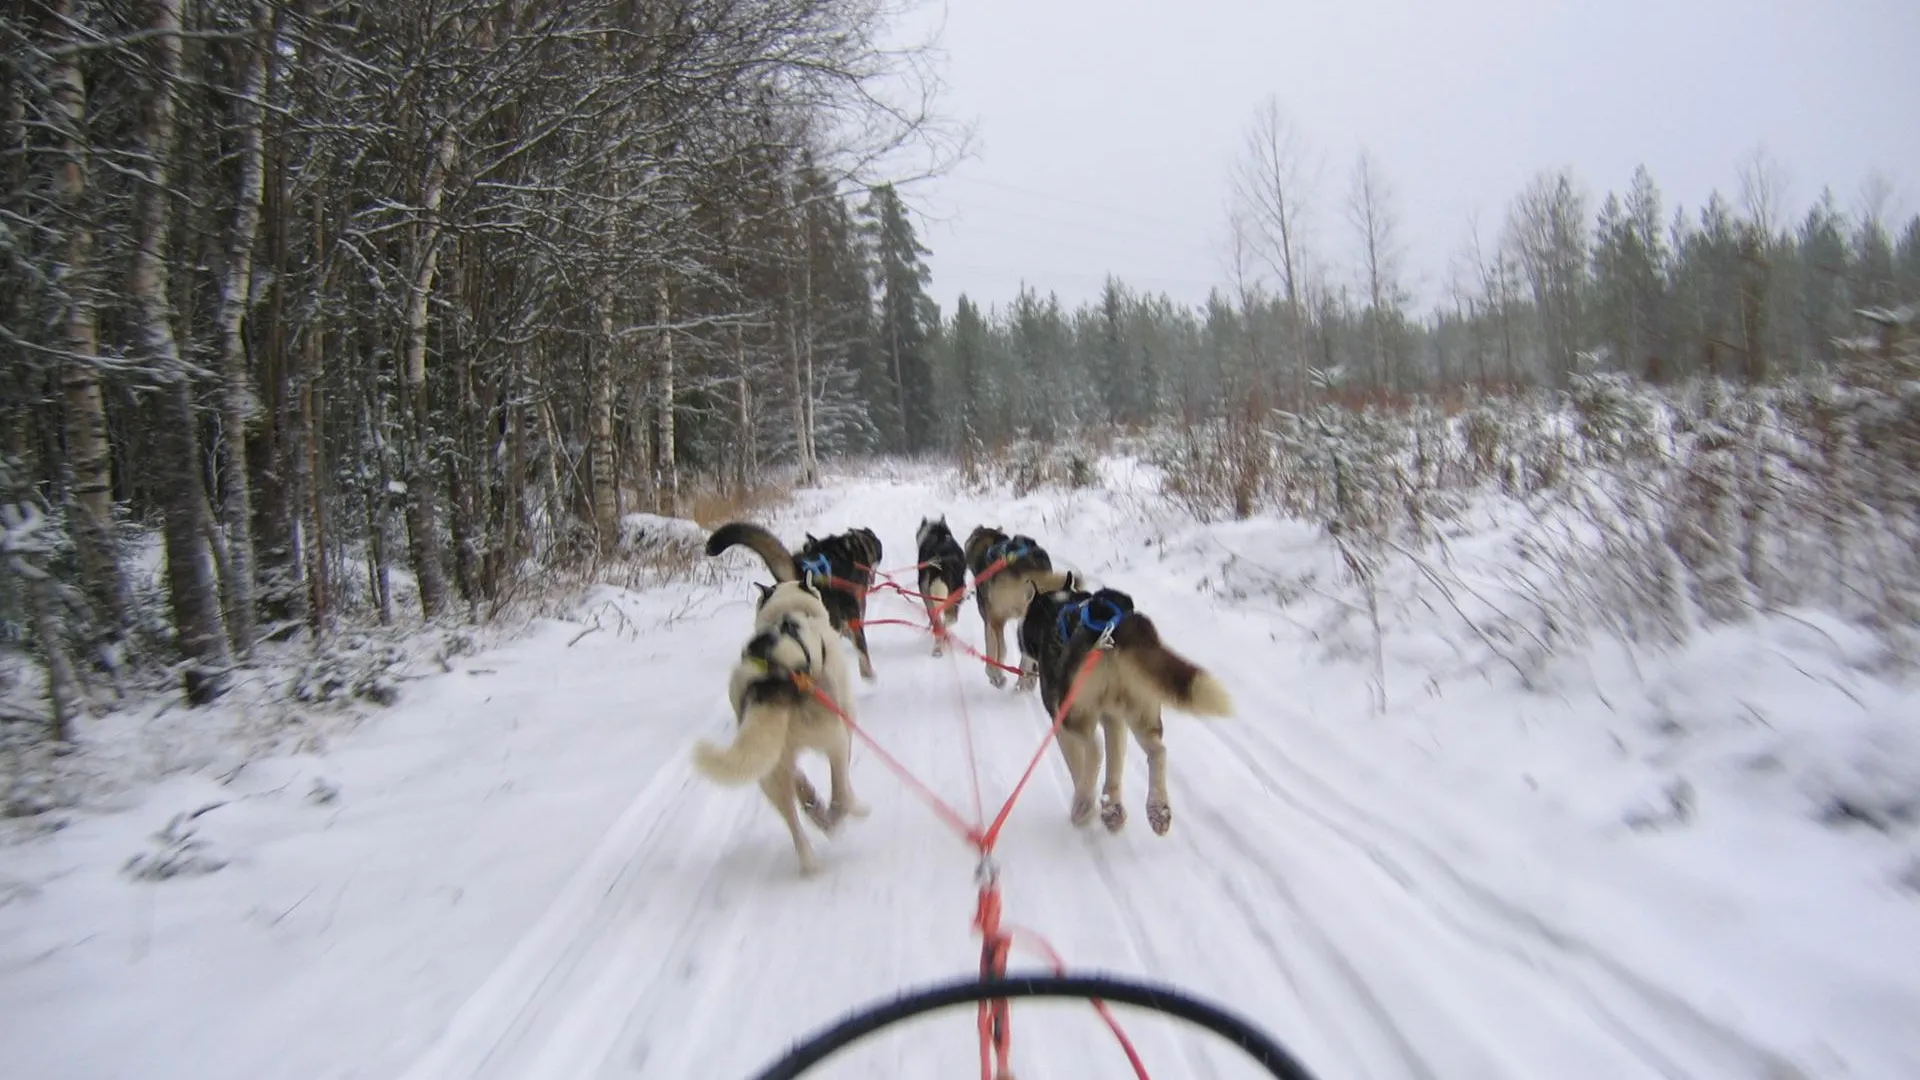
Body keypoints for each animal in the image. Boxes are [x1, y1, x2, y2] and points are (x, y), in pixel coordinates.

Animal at [695, 576, 867, 868]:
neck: (789, 612)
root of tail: (770, 675)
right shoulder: (845, 724)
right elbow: (842, 779)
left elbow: (803, 785)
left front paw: (811, 798)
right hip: (831, 736)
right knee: (839, 790)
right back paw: (843, 814)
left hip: (770, 769)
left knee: (793, 817)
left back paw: (811, 853)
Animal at [967, 522, 1075, 687]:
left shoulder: (989, 619)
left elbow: (993, 649)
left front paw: (994, 674)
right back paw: (1027, 681)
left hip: (997, 618)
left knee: (1003, 648)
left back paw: (1000, 675)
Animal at [1021, 580, 1228, 834]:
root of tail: (1116, 625)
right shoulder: (1114, 718)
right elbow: (1115, 766)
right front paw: (1112, 807)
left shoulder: (1060, 720)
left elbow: (1078, 764)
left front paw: (1089, 798)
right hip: (1142, 711)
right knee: (1158, 751)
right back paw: (1157, 808)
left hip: (1074, 713)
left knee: (1095, 748)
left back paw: (1083, 803)